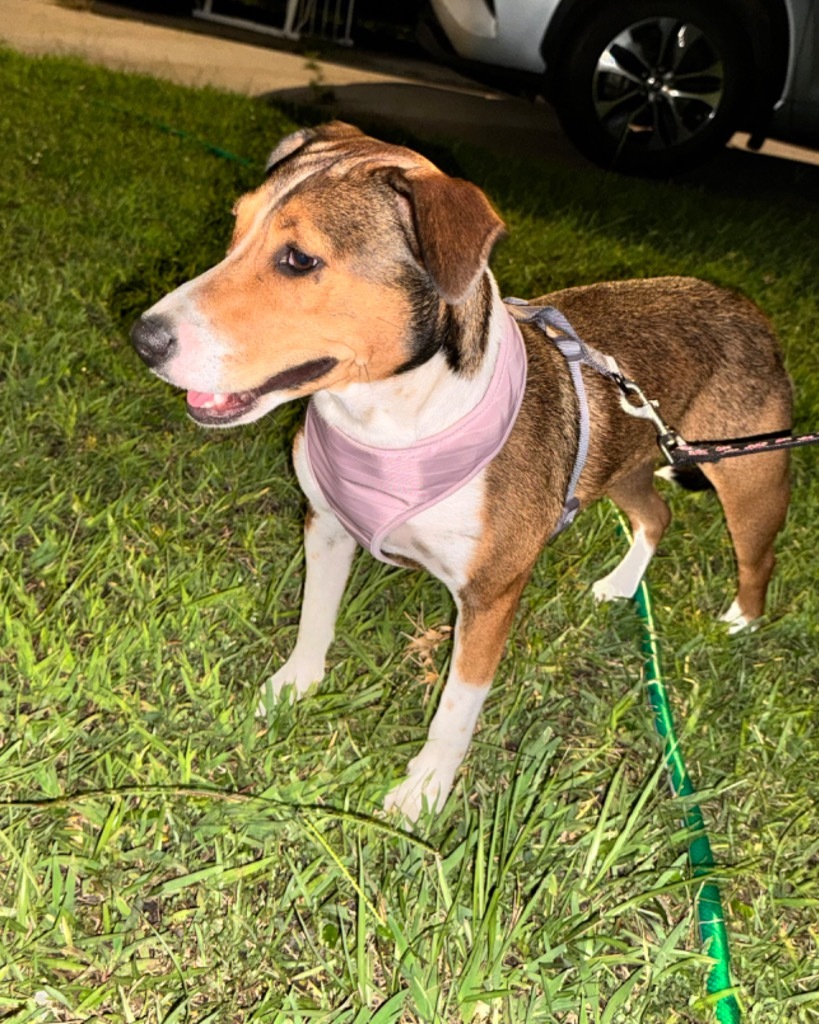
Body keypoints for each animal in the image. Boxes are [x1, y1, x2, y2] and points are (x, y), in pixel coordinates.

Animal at [133, 121, 794, 823]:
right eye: (235, 229)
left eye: (299, 260)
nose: (144, 339)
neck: (395, 423)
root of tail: (743, 302)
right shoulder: (327, 528)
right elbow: (315, 618)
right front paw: (294, 685)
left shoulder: (489, 596)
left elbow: (456, 707)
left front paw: (425, 790)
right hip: (625, 460)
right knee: (656, 514)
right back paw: (622, 584)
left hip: (751, 474)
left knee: (757, 555)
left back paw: (741, 622)